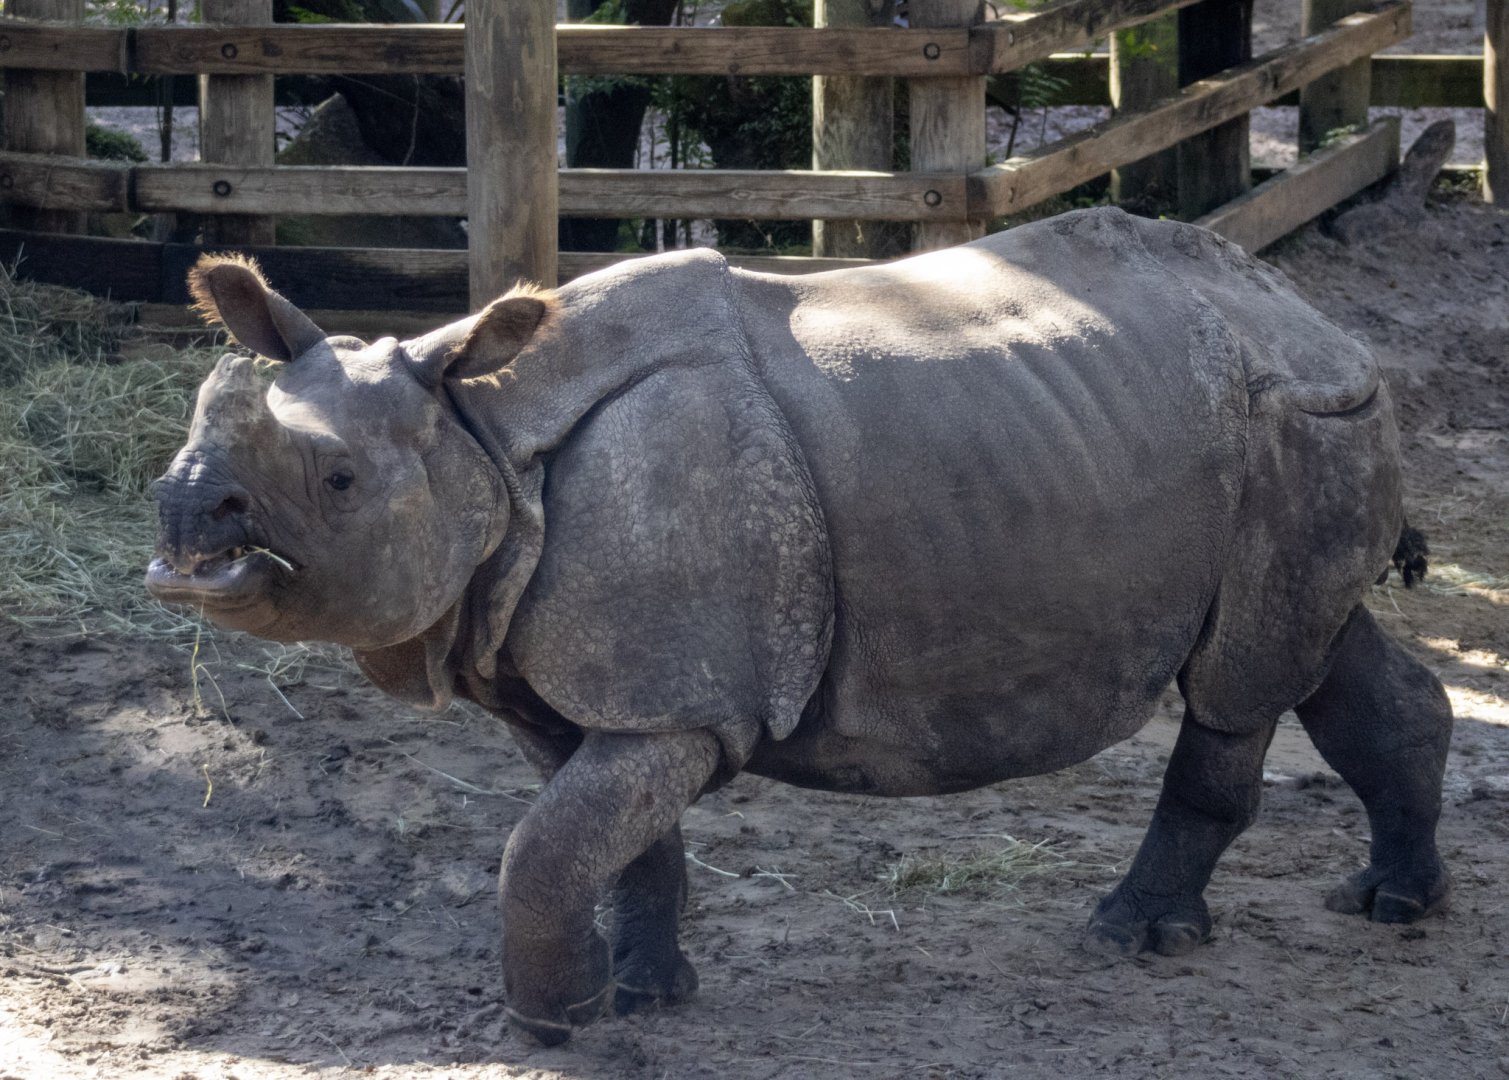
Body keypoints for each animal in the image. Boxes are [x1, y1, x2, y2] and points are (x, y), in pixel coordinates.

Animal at [147, 207, 1452, 1045]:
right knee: (1323, 652)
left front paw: (552, 1028)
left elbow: (547, 846)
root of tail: (1310, 315)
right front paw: (643, 998)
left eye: (336, 484)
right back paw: (1394, 906)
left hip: (1295, 419)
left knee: (1238, 685)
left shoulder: (675, 704)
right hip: (1282, 422)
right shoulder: (574, 680)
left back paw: (1129, 940)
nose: (179, 509)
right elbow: (609, 842)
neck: (482, 429)